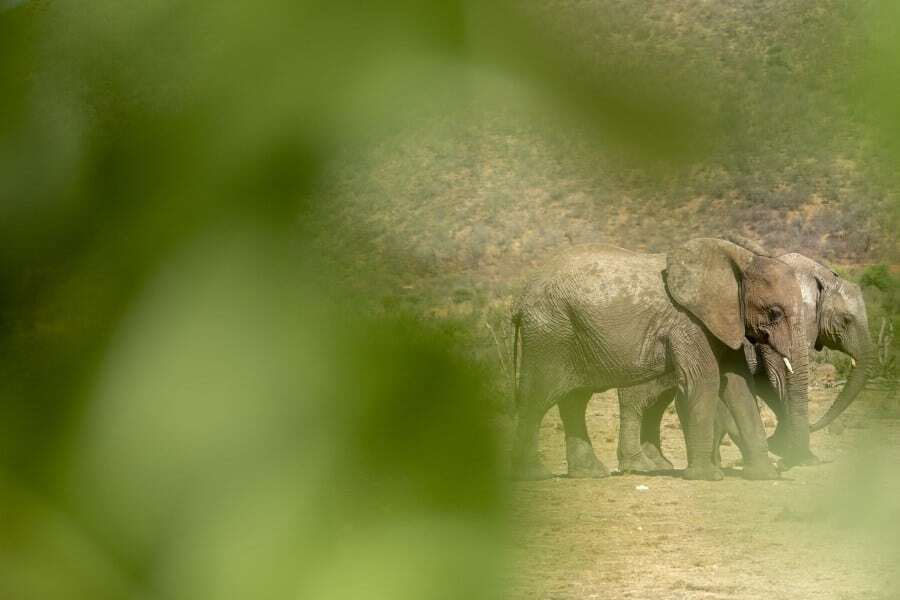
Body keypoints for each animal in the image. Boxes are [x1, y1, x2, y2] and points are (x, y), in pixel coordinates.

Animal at [510, 237, 812, 480]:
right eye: (774, 313)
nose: (785, 465)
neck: (739, 260)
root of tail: (520, 297)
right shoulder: (688, 324)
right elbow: (704, 382)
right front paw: (706, 477)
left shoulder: (723, 322)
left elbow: (740, 388)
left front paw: (764, 475)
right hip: (549, 334)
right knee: (537, 397)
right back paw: (533, 476)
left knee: (576, 399)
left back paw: (590, 474)